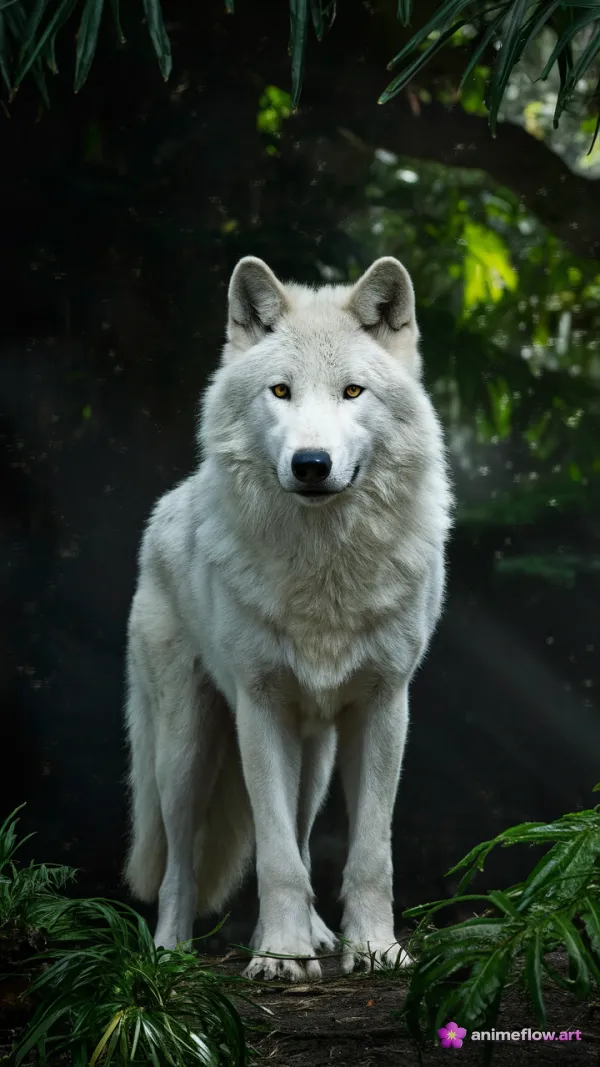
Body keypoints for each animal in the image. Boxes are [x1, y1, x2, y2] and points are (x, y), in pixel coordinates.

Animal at [123, 255, 452, 981]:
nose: (311, 464)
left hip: (317, 758)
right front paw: (279, 955)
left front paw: (374, 947)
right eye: (281, 391)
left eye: (353, 392)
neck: (324, 571)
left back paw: (320, 934)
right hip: (186, 749)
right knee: (180, 863)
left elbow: (367, 854)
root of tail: (167, 504)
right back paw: (170, 952)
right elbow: (273, 857)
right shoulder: (260, 705)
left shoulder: (385, 706)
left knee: (301, 836)